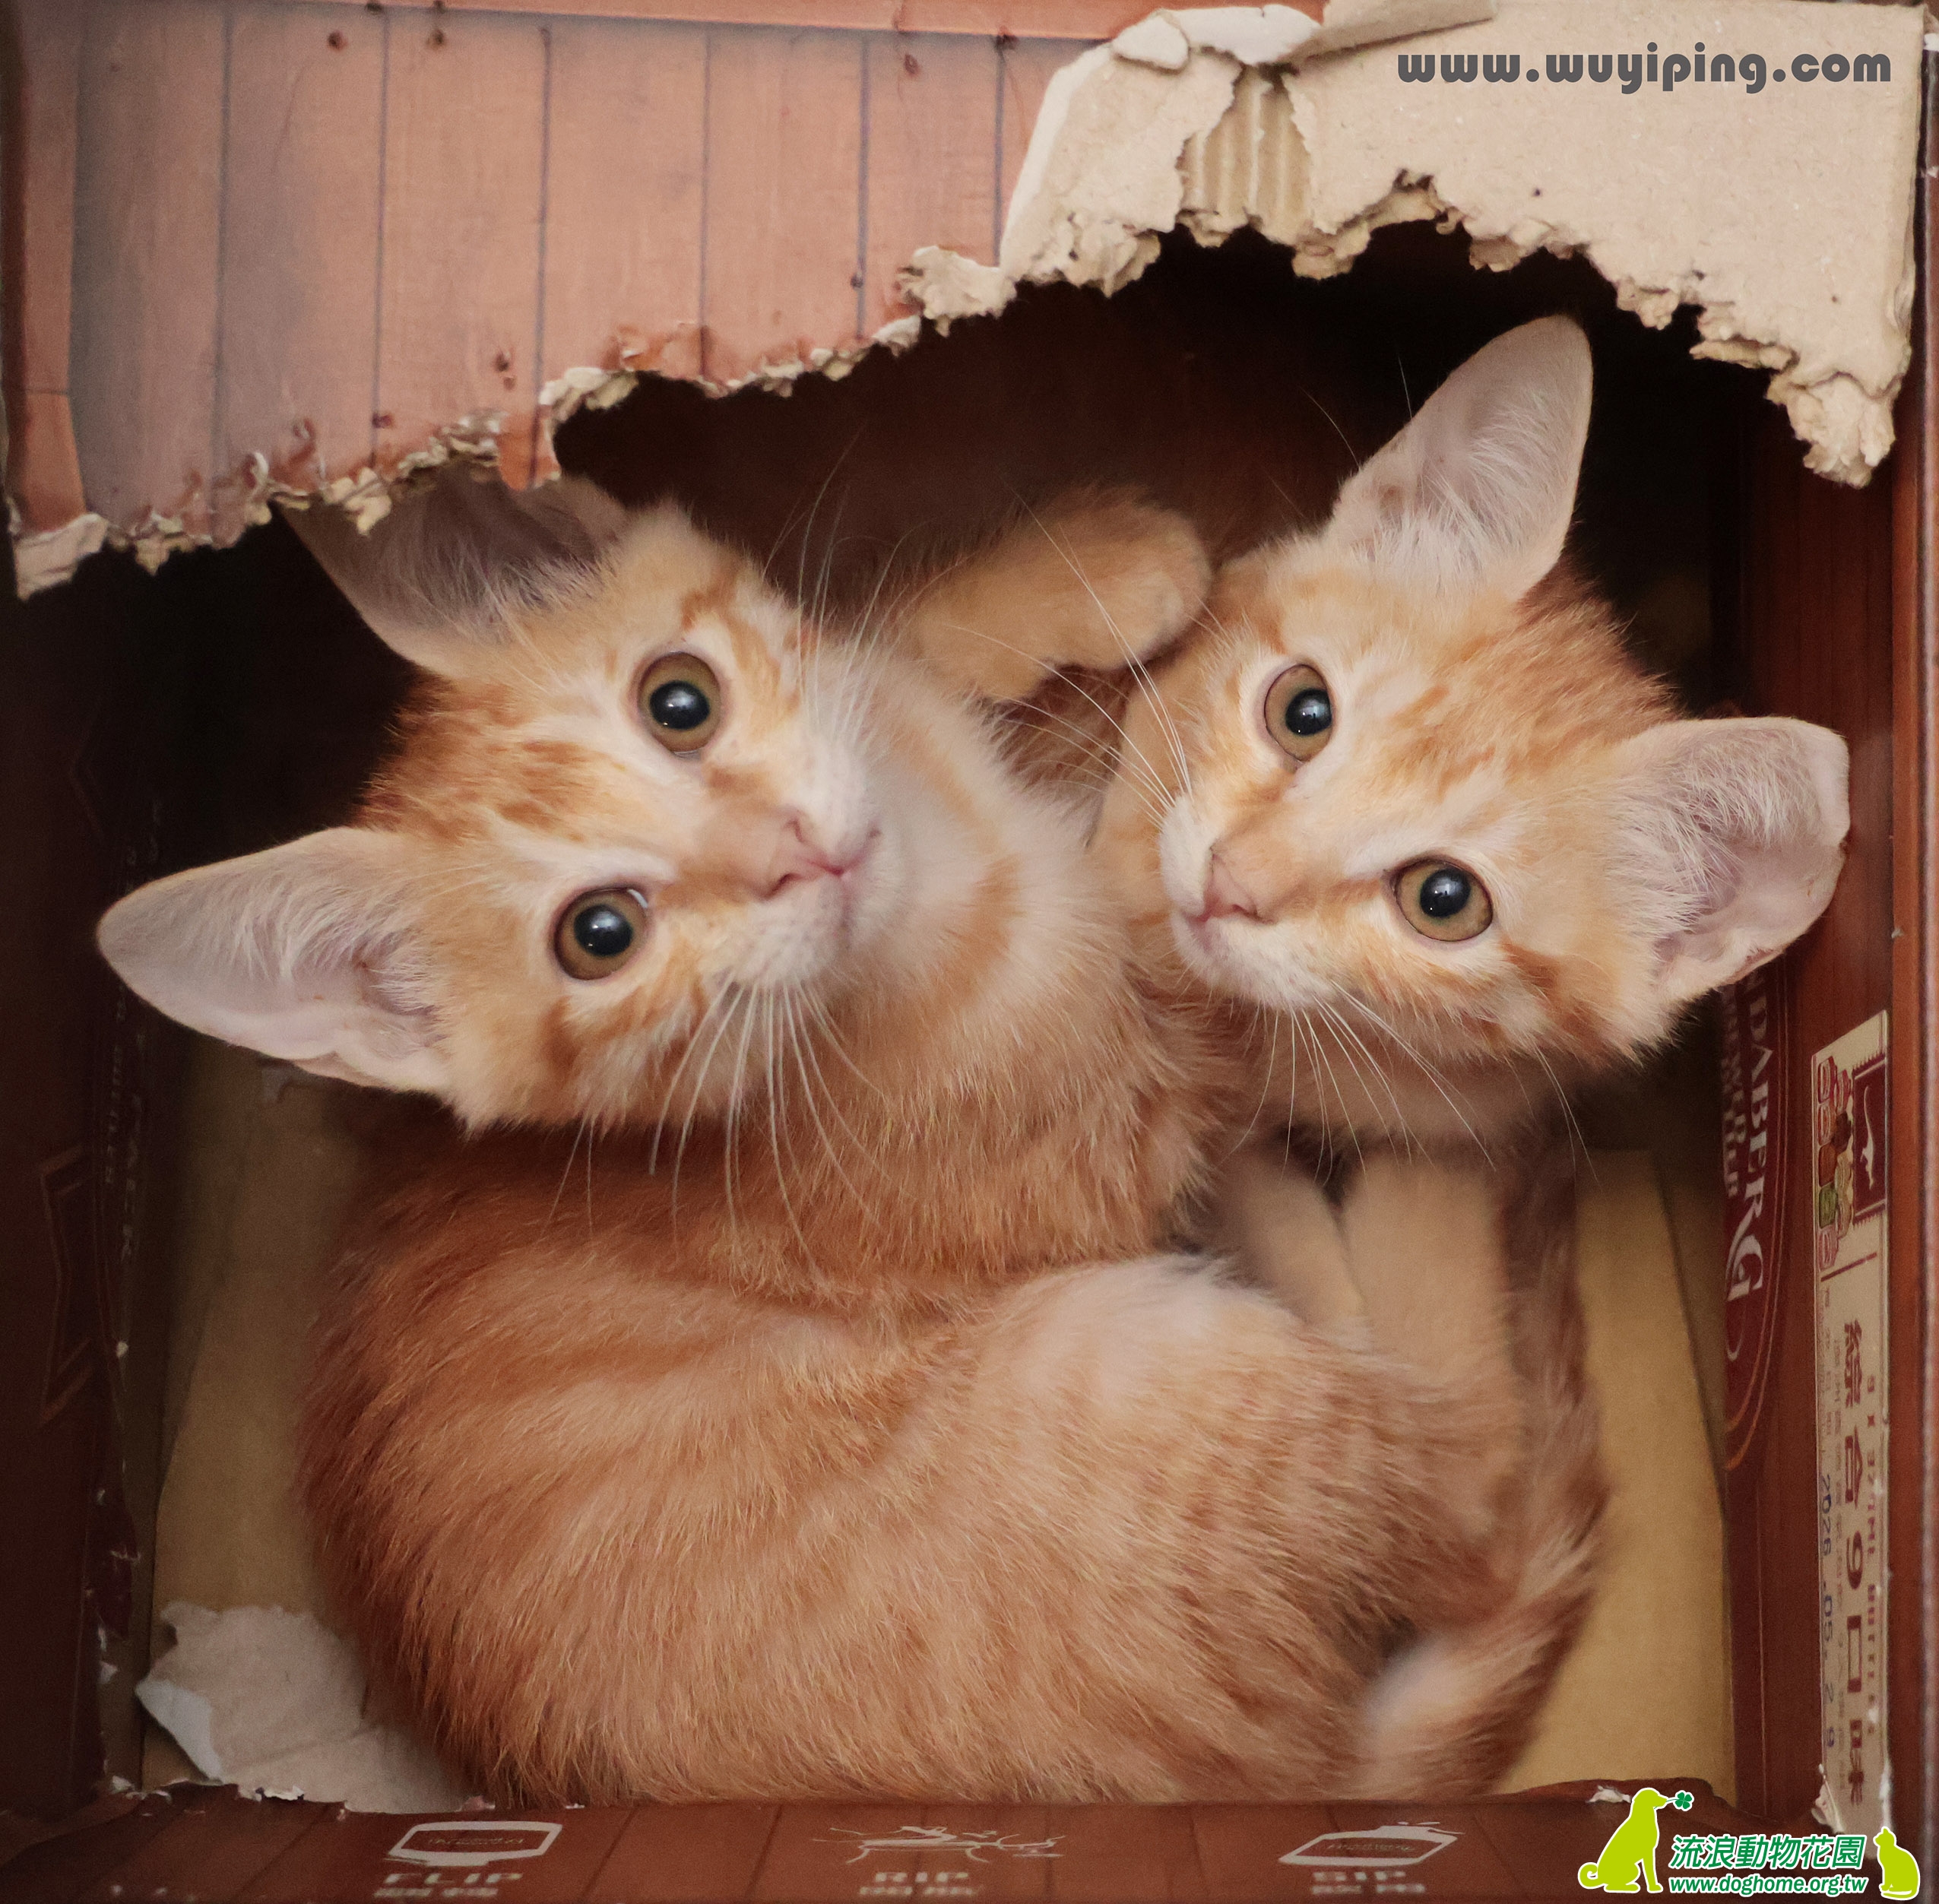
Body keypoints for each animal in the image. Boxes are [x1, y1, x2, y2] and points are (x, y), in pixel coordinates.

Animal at [98, 468, 1527, 1806]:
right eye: (599, 934)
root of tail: (1289, 1771)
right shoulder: (1112, 1126)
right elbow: (1197, 947)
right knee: (1470, 1514)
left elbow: (888, 645)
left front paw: (1106, 564)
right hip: (1177, 1374)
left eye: (679, 701)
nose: (790, 853)